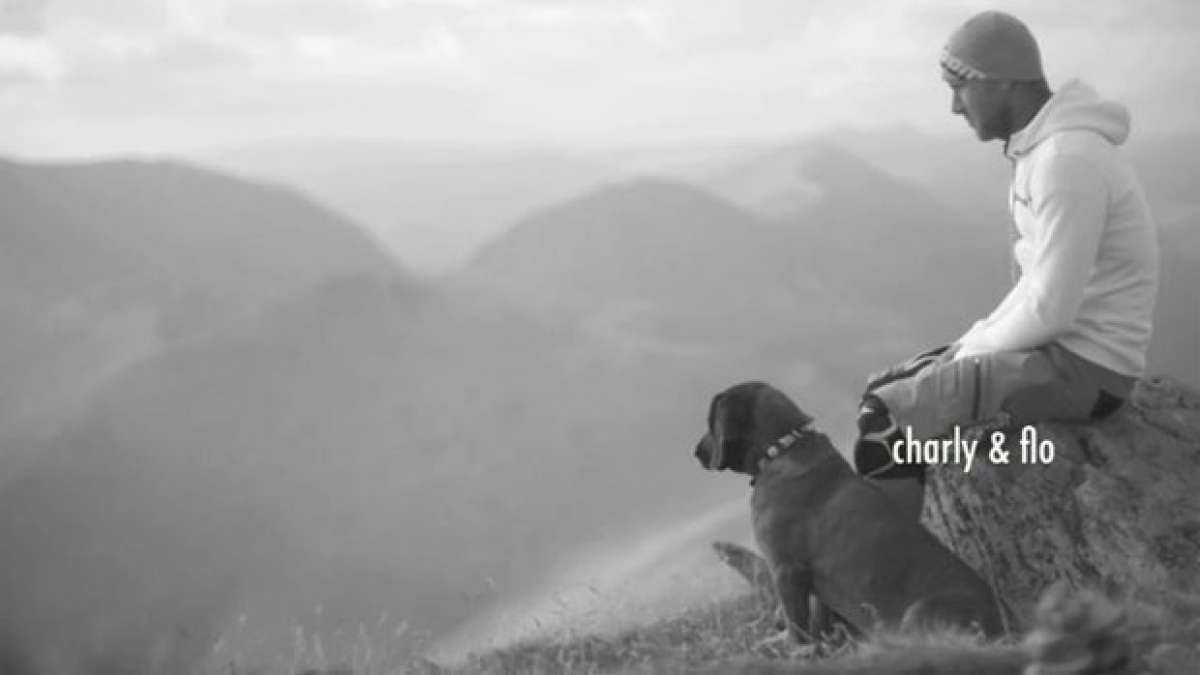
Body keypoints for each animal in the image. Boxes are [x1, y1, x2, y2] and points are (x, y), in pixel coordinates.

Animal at [700, 381, 1008, 638]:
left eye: (710, 423)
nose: (696, 452)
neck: (782, 446)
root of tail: (998, 622)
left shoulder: (785, 571)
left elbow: (798, 632)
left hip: (916, 613)